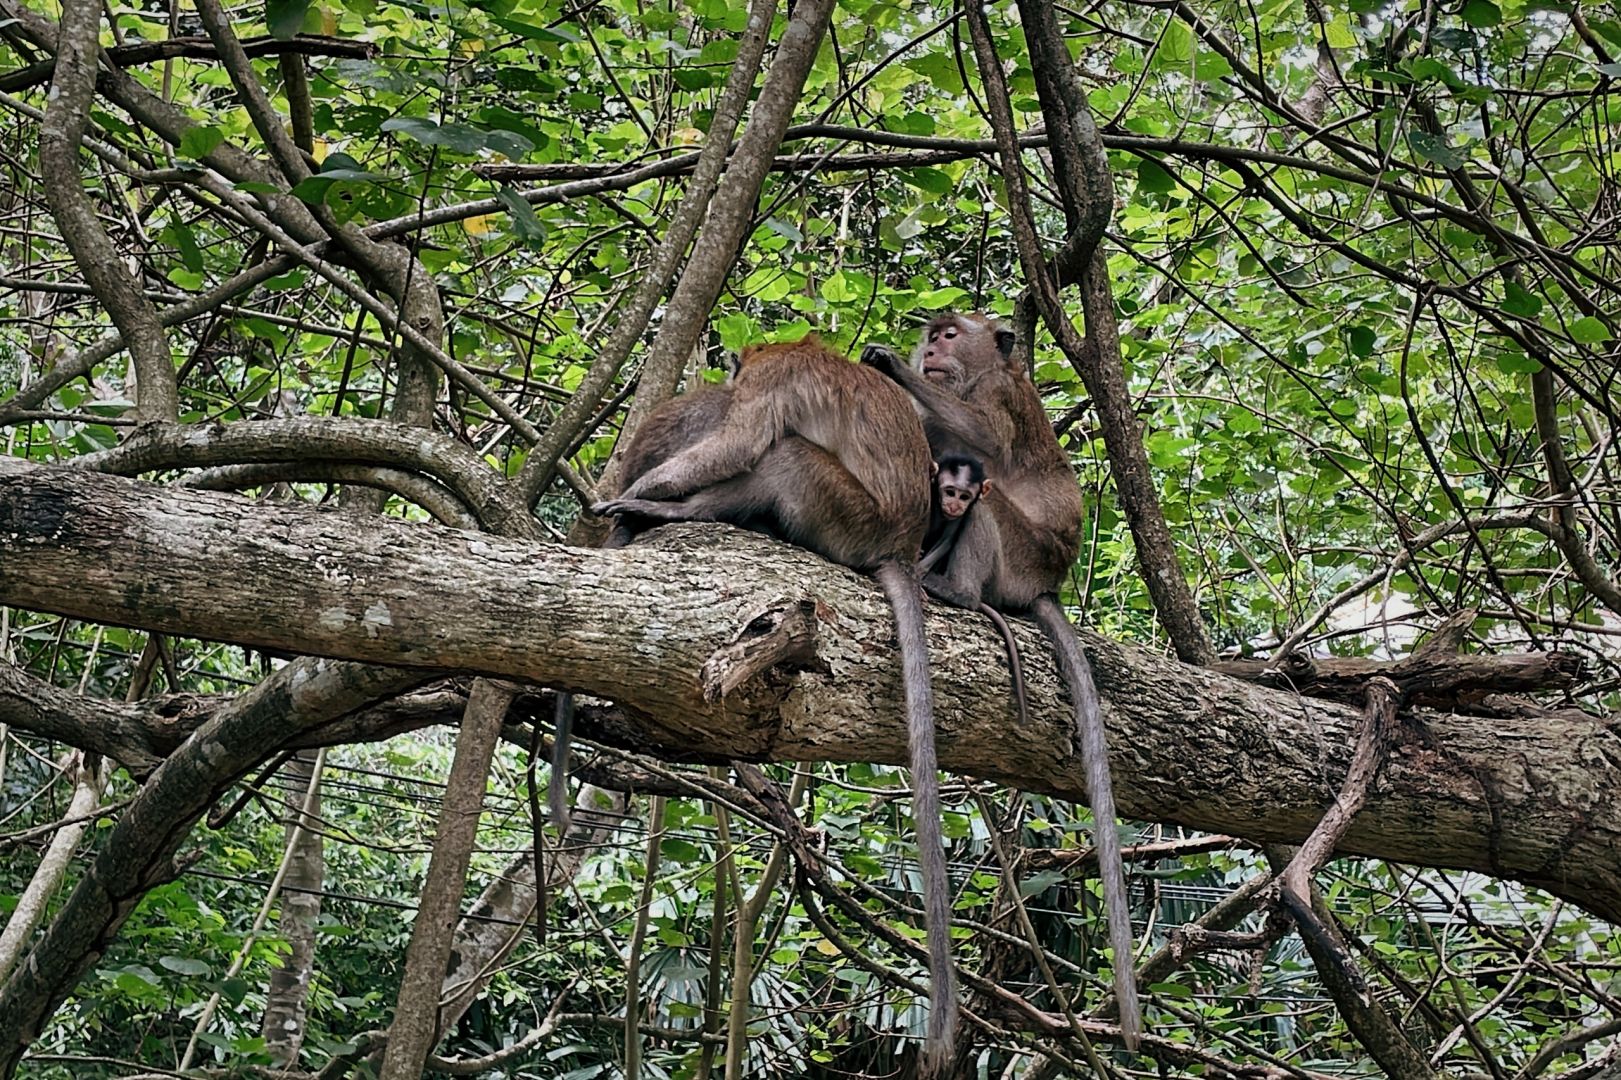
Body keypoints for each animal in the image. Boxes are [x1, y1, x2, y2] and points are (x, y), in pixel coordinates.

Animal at [593, 334, 959, 1070]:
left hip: (844, 515)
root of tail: (897, 544)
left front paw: (640, 494)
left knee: (782, 454)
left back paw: (680, 511)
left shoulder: (767, 382)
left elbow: (738, 445)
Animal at [927, 450, 1024, 720]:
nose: (955, 505)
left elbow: (948, 537)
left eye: (964, 496)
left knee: (978, 513)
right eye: (950, 492)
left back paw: (960, 594)